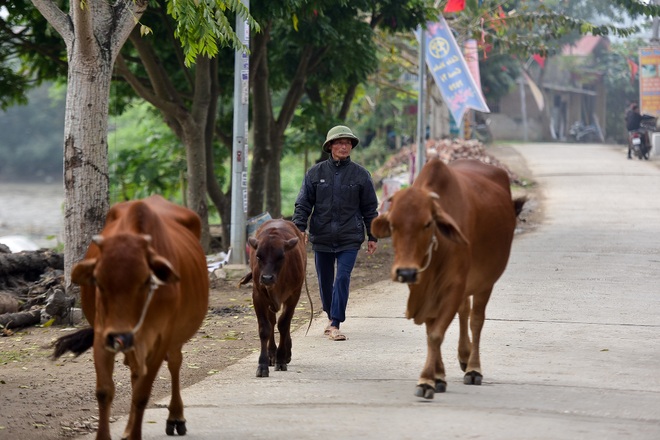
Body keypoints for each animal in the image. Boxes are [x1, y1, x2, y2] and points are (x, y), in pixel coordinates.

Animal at [52, 196, 209, 440]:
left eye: (146, 280)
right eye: (98, 281)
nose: (121, 334)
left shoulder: (161, 339)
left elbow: (142, 393)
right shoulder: (103, 334)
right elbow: (105, 390)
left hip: (173, 338)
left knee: (174, 363)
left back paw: (175, 417)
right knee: (136, 372)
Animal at [240, 218, 306, 376]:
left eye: (281, 256)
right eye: (258, 256)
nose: (267, 278)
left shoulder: (294, 295)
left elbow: (284, 324)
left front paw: (281, 359)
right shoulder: (258, 295)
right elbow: (265, 328)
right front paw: (263, 364)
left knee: (284, 323)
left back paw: (286, 353)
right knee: (272, 322)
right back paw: (271, 354)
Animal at [372, 158, 524, 398]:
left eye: (427, 223)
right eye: (393, 224)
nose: (406, 272)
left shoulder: (454, 286)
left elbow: (436, 334)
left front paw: (426, 381)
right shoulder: (426, 290)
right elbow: (431, 330)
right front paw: (438, 376)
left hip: (485, 282)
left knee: (476, 320)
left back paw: (473, 368)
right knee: (464, 312)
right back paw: (463, 356)